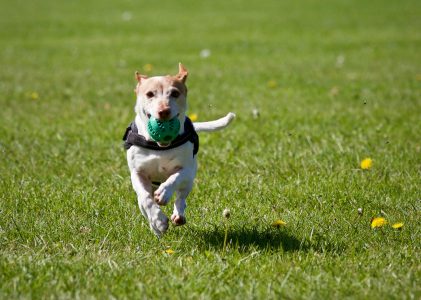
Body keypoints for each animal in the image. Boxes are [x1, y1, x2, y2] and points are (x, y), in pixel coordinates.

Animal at [123, 63, 235, 237]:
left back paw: (178, 215)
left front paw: (164, 193)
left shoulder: (187, 169)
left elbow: (175, 178)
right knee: (144, 203)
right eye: (150, 94)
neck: (160, 147)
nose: (164, 111)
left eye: (175, 93)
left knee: (181, 197)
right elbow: (146, 199)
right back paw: (156, 228)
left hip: (189, 181)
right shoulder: (137, 173)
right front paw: (158, 221)